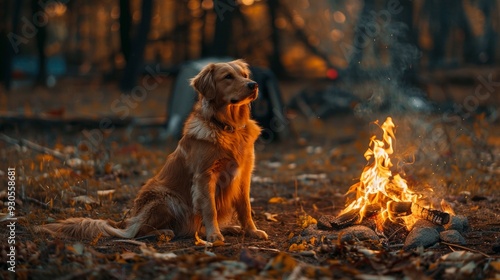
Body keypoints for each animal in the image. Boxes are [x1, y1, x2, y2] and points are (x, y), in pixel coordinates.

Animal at [42, 59, 270, 243]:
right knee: (137, 232)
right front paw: (214, 235)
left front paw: (251, 231)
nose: (254, 85)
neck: (228, 127)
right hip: (165, 198)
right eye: (228, 77)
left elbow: (245, 208)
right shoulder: (205, 176)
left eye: (245, 75)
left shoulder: (244, 174)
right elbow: (210, 208)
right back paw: (164, 233)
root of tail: (126, 220)